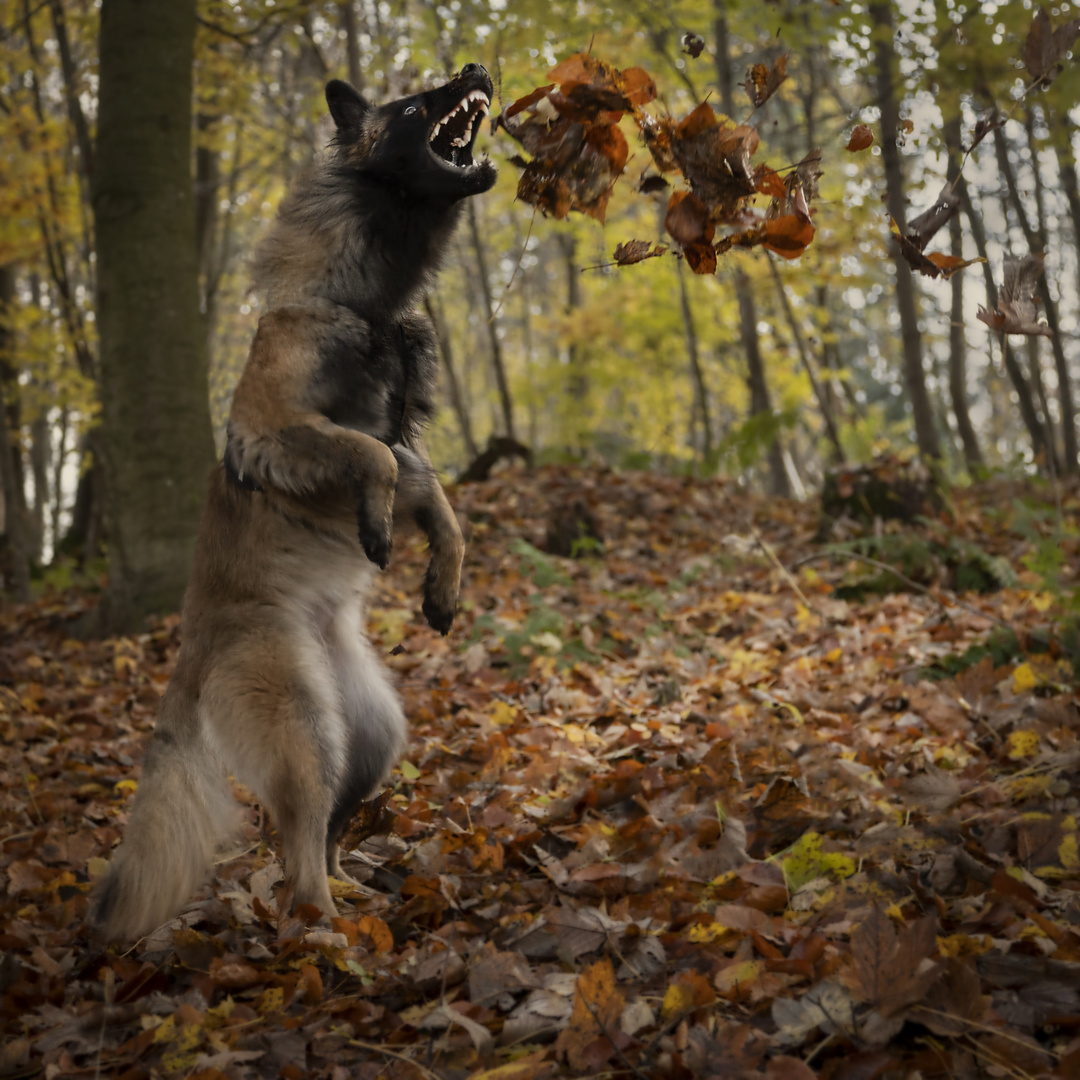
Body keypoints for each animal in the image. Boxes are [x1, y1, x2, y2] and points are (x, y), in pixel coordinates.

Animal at [92, 65, 496, 937]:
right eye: (412, 103)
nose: (478, 72)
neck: (370, 305)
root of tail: (192, 657)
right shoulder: (274, 425)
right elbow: (371, 457)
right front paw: (378, 529)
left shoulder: (405, 445)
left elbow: (435, 494)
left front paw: (442, 584)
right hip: (305, 732)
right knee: (297, 863)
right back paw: (333, 936)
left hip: (369, 737)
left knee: (318, 841)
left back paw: (355, 898)